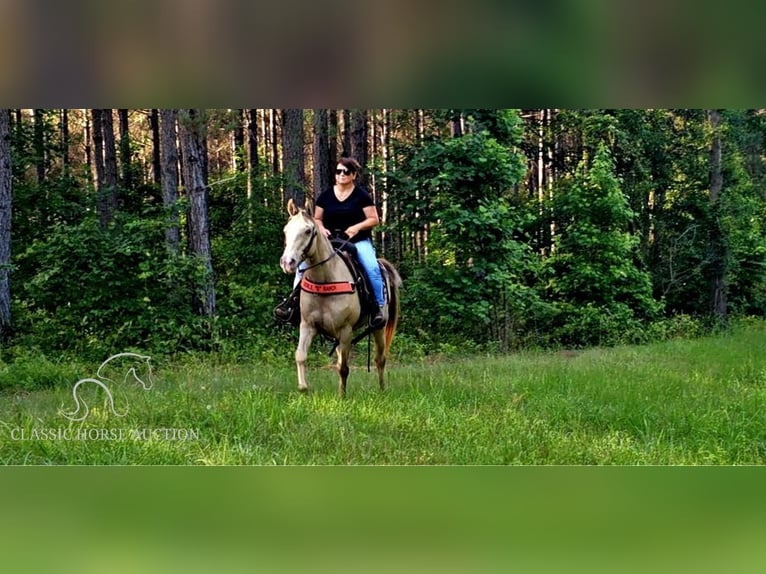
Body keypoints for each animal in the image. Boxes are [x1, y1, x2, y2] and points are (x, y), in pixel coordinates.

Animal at [280, 198, 402, 396]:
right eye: (286, 230)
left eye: (307, 231)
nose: (287, 262)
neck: (325, 278)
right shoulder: (307, 325)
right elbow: (300, 356)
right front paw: (303, 388)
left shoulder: (346, 331)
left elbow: (344, 368)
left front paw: (342, 397)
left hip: (379, 327)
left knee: (379, 359)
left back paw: (383, 390)